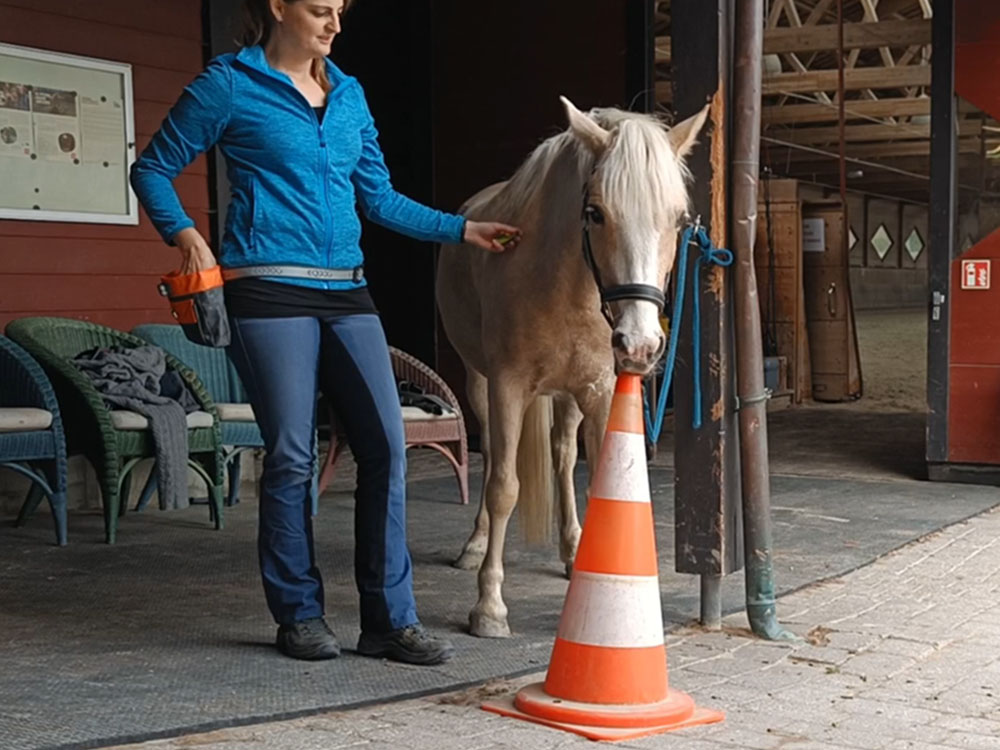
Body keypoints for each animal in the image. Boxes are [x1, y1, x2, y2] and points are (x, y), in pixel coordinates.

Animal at [436, 97, 708, 638]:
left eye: (677, 219)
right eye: (595, 213)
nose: (640, 344)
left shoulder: (598, 391)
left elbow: (599, 474)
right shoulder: (507, 386)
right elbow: (503, 487)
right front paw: (489, 606)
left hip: (566, 396)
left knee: (562, 456)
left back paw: (570, 548)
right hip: (479, 383)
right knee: (494, 455)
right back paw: (475, 544)